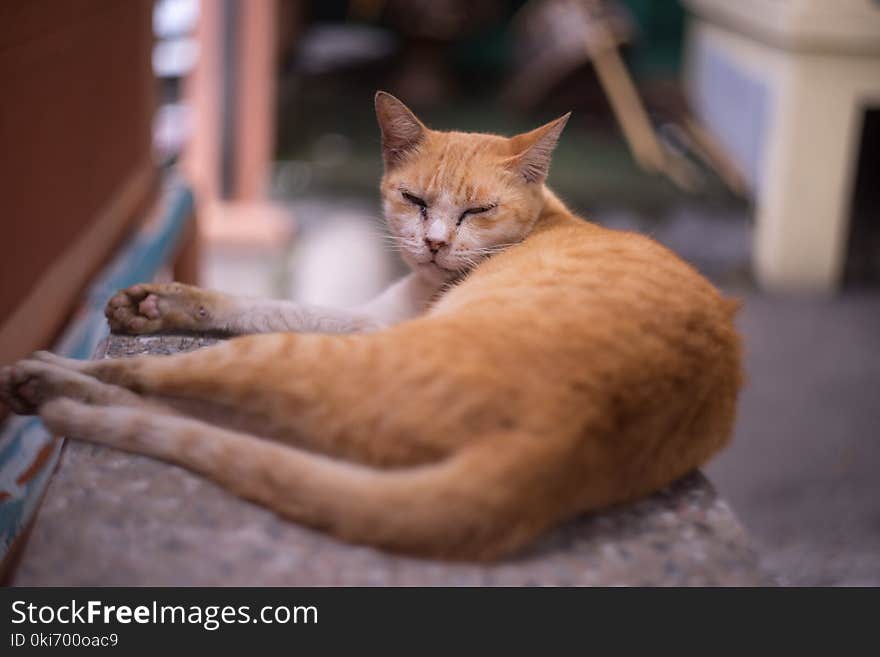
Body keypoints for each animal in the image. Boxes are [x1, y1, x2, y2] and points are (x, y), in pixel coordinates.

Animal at [0, 92, 744, 560]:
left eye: (477, 211)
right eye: (413, 200)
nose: (437, 243)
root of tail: (568, 433)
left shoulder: (369, 327)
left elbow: (248, 313)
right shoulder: (369, 317)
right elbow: (252, 299)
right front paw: (159, 302)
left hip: (294, 363)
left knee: (146, 382)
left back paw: (45, 383)